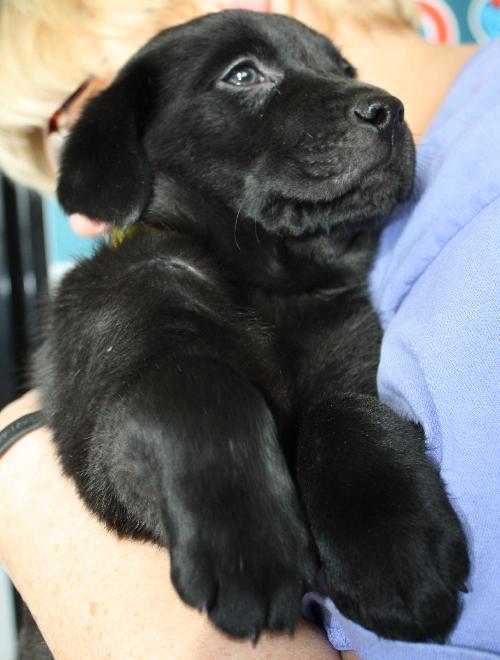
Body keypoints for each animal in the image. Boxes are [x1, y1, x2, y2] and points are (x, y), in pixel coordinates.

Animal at [35, 10, 468, 648]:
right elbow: (196, 384)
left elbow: (342, 410)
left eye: (344, 69)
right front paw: (246, 542)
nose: (390, 109)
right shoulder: (99, 430)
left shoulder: (353, 353)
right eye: (242, 74)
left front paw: (393, 548)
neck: (267, 281)